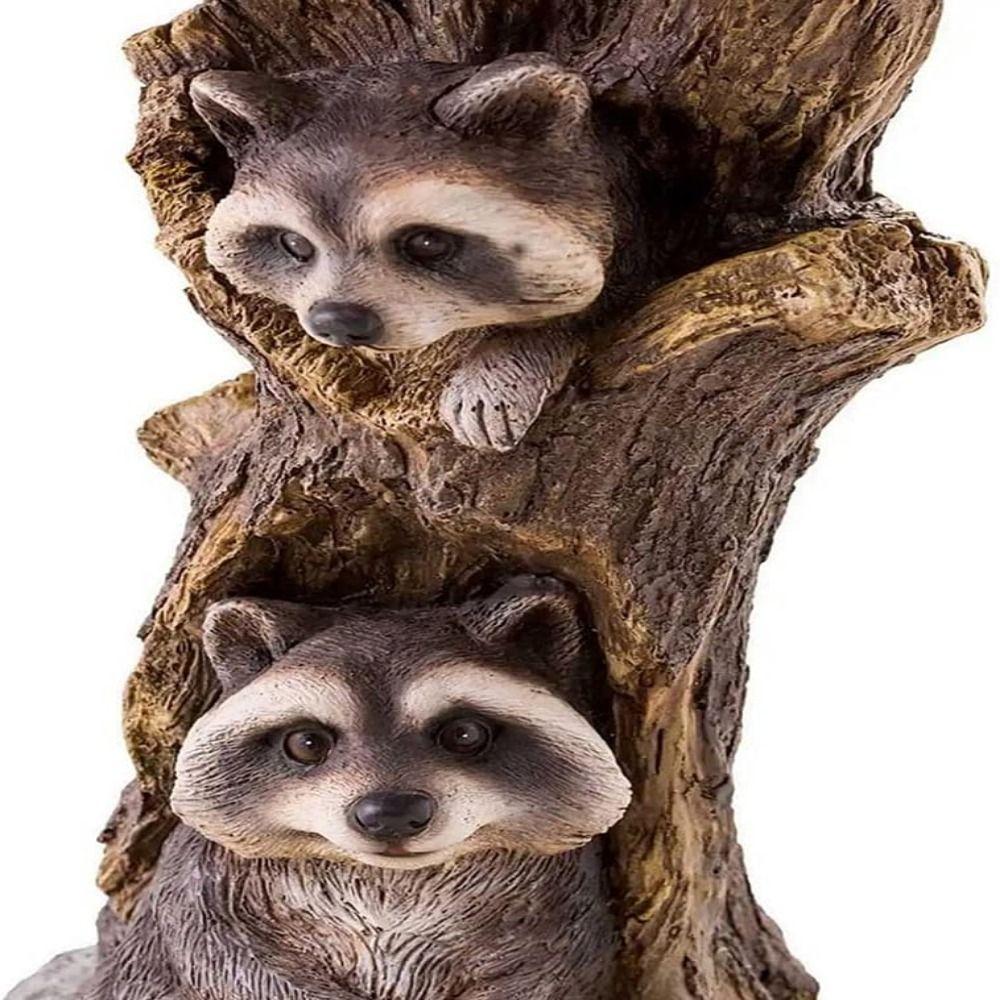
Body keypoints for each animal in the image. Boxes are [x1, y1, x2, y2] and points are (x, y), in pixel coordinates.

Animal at [86, 577, 632, 1000]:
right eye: (307, 742)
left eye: (464, 733)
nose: (391, 812)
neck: (391, 880)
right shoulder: (202, 881)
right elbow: (228, 961)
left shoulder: (565, 893)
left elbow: (549, 968)